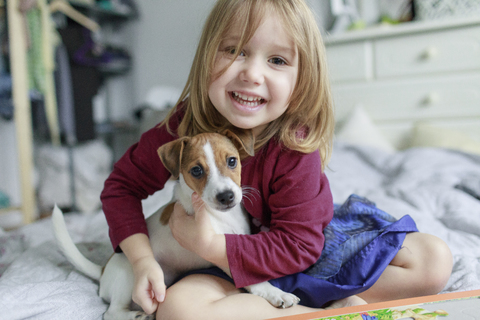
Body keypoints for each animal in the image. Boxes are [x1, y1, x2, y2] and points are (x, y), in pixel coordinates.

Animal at [53, 129, 300, 320]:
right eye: (196, 170)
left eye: (232, 161)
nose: (226, 196)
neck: (220, 217)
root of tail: (104, 270)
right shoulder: (222, 253)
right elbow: (255, 280)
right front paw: (276, 293)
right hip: (129, 276)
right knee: (110, 312)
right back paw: (138, 315)